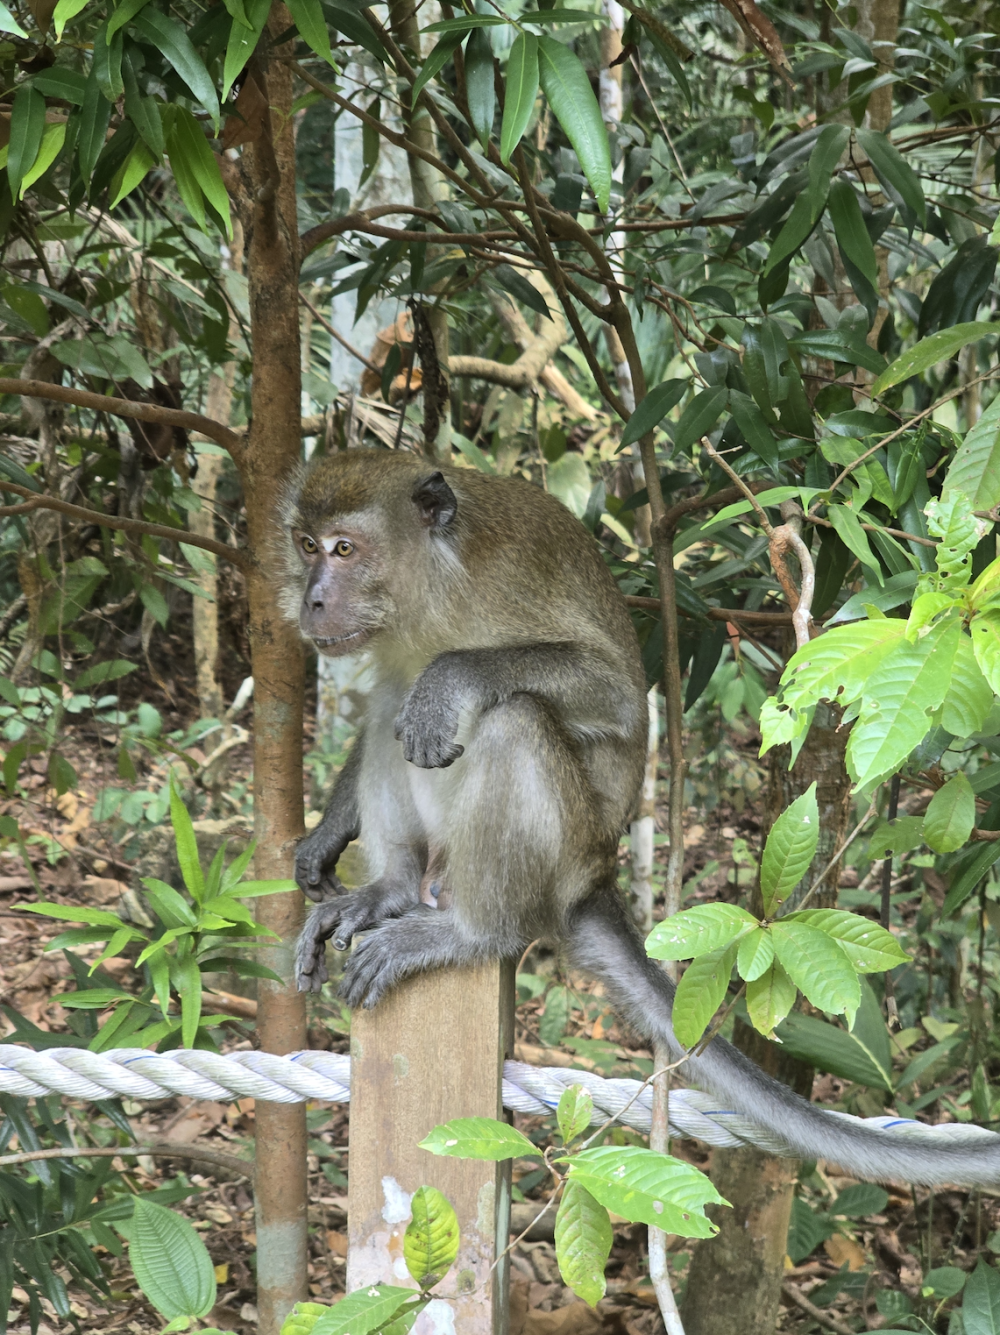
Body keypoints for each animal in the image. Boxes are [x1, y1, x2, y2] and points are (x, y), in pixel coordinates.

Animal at [281, 449, 1000, 1188]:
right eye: (305, 545)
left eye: (344, 548)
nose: (312, 599)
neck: (428, 589)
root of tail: (597, 875)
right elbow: (389, 685)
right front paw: (328, 835)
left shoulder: (499, 582)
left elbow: (616, 696)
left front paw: (451, 679)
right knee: (392, 699)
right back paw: (391, 889)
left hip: (564, 851)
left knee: (511, 719)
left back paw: (472, 931)